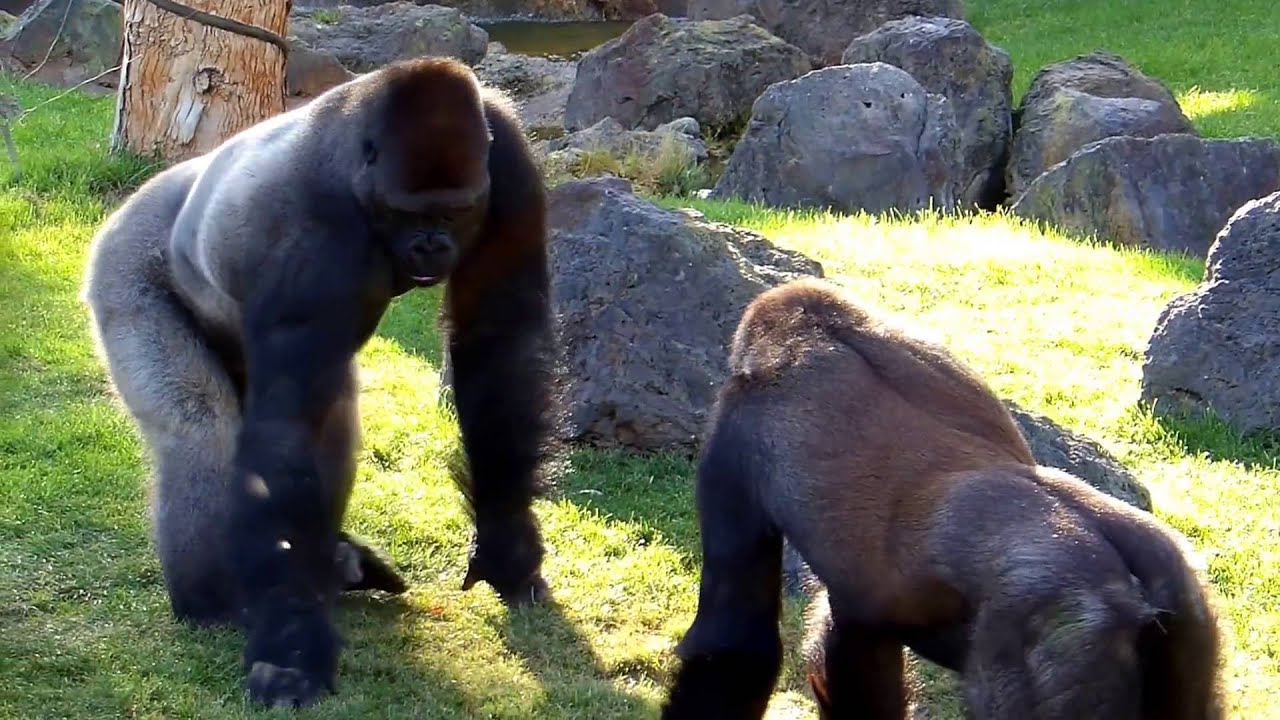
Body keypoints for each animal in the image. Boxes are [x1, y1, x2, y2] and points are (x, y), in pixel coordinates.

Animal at [80, 56, 555, 709]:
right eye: (409, 214)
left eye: (455, 213)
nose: (432, 245)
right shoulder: (310, 233)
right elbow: (286, 439)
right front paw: (292, 644)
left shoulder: (506, 154)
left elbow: (501, 338)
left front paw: (506, 544)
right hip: (121, 271)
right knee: (199, 432)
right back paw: (213, 599)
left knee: (328, 414)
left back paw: (337, 564)